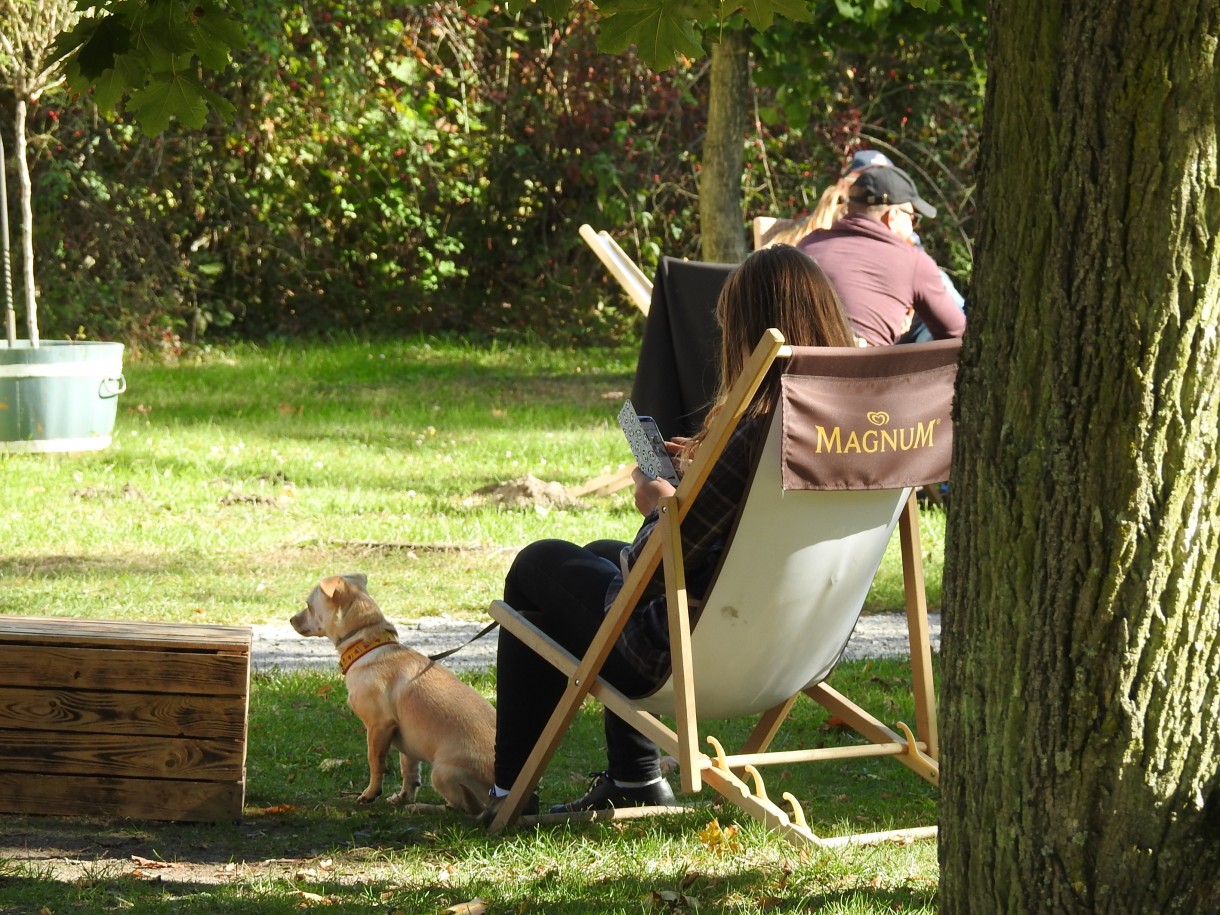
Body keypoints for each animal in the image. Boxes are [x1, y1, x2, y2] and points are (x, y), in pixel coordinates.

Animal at [290, 573, 495, 814]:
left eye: (308, 606)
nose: (291, 619)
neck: (367, 644)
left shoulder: (378, 727)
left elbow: (375, 762)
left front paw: (370, 793)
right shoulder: (408, 743)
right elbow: (409, 771)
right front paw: (403, 796)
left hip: (442, 774)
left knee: (462, 808)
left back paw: (423, 807)